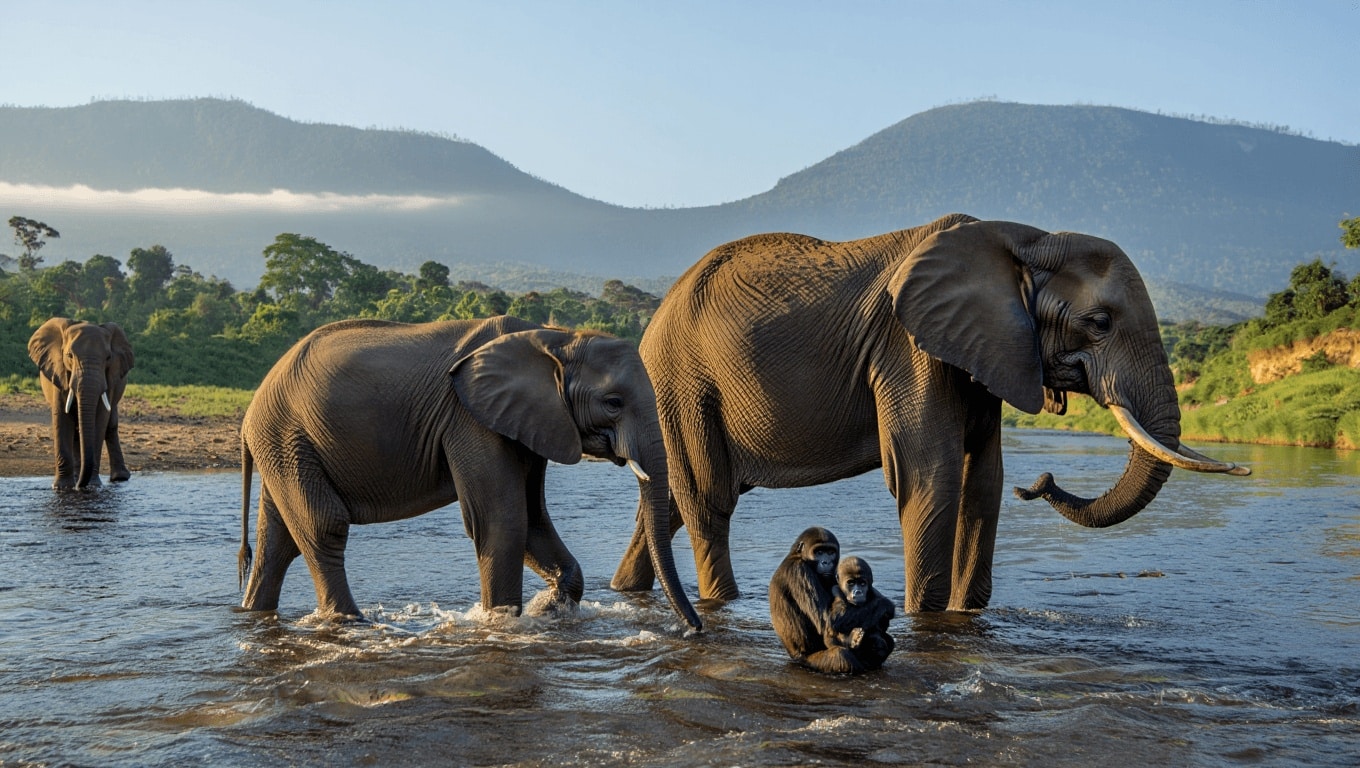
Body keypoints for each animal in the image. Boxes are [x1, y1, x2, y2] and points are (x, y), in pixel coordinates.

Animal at [28, 317, 135, 490]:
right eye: (69, 355)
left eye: (108, 358)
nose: (79, 486)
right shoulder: (59, 371)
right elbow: (62, 418)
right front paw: (62, 487)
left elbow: (100, 419)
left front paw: (92, 485)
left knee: (110, 425)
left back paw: (118, 478)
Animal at [237, 315, 701, 629]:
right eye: (613, 403)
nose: (695, 629)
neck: (553, 337)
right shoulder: (470, 418)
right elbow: (503, 520)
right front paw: (505, 623)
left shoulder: (530, 421)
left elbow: (532, 519)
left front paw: (547, 610)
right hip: (288, 437)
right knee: (324, 528)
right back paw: (355, 623)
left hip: (285, 446)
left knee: (278, 543)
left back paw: (252, 614)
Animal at [611, 213, 1249, 612]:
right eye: (1099, 323)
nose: (1040, 482)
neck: (1024, 237)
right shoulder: (910, 349)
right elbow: (932, 477)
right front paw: (926, 618)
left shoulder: (987, 351)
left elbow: (983, 480)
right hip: (684, 385)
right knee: (708, 499)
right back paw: (720, 603)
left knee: (669, 504)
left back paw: (626, 591)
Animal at [768, 526, 861, 673]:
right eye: (819, 552)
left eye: (830, 552)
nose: (826, 562)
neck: (796, 555)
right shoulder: (799, 570)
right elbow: (827, 621)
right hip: (806, 661)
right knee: (841, 655)